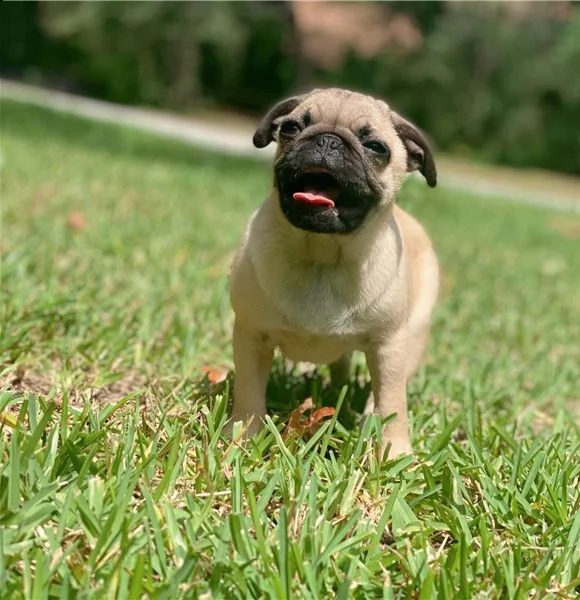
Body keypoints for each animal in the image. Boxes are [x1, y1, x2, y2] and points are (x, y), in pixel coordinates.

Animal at [229, 86, 438, 458]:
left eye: (376, 147)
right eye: (291, 128)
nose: (327, 140)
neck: (322, 255)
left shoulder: (389, 346)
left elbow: (394, 403)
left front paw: (394, 451)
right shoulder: (251, 336)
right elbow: (249, 393)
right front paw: (243, 437)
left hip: (412, 336)